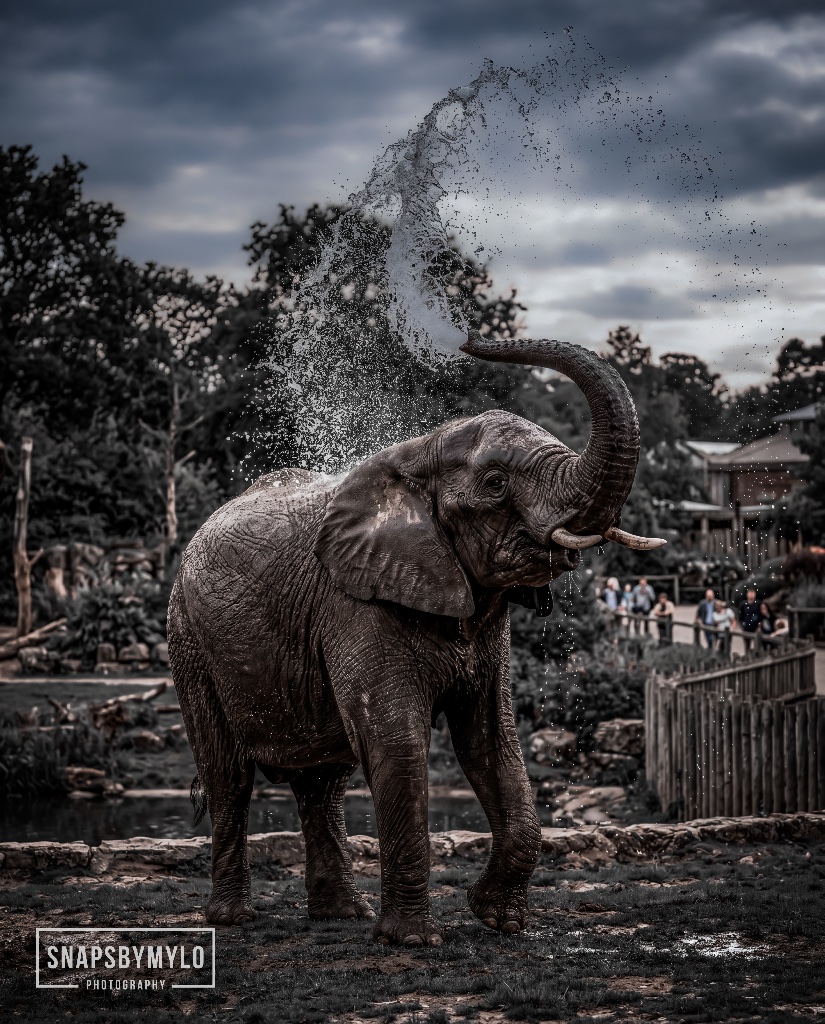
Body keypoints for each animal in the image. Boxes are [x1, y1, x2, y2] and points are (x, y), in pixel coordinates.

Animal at [167, 331, 664, 946]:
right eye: (495, 483)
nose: (470, 341)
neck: (417, 455)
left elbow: (491, 742)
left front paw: (498, 920)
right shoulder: (355, 603)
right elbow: (395, 742)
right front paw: (413, 939)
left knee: (323, 782)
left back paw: (342, 915)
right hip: (188, 638)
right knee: (229, 775)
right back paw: (234, 918)